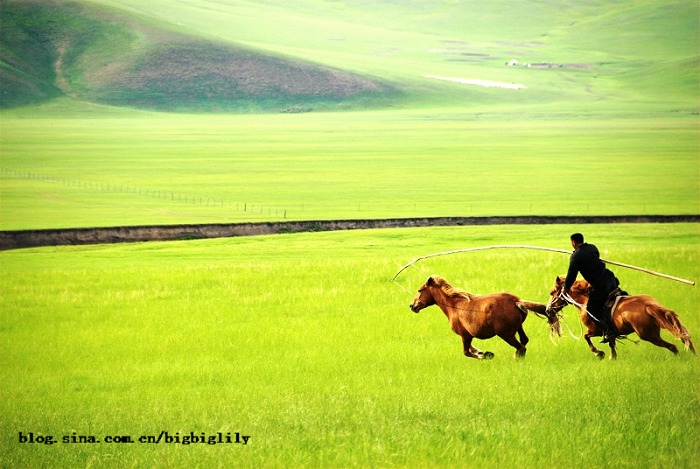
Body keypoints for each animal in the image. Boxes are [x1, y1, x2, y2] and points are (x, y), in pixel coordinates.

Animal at [408, 274, 548, 358]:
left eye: (420, 290)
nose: (412, 305)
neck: (454, 306)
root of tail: (517, 301)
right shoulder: (468, 337)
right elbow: (471, 350)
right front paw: (481, 352)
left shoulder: (465, 336)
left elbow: (467, 352)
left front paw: (487, 354)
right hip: (518, 327)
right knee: (524, 341)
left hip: (506, 334)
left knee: (521, 348)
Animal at [548, 274, 696, 358]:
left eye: (552, 292)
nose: (548, 309)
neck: (585, 300)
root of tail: (648, 305)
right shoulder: (611, 333)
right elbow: (612, 346)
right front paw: (612, 358)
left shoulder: (596, 330)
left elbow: (586, 337)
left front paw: (598, 353)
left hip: (649, 335)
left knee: (673, 347)